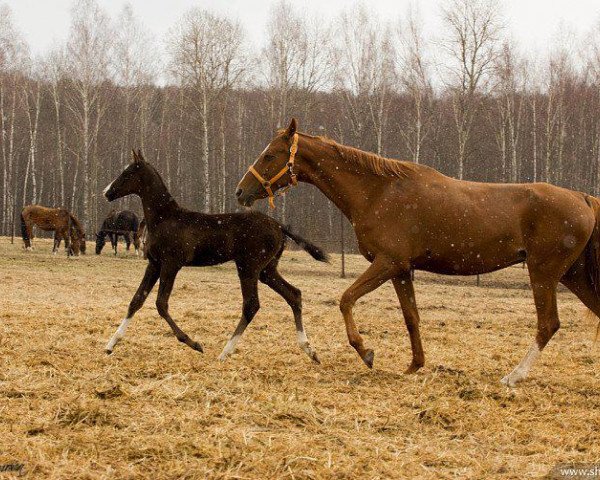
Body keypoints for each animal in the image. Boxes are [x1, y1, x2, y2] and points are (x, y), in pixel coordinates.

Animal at [236, 118, 600, 388]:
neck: (379, 192)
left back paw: (513, 376)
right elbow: (411, 317)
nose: (240, 192)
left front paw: (366, 351)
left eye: (270, 155)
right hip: (573, 276)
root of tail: (582, 198)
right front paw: (414, 365)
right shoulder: (401, 270)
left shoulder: (387, 262)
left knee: (547, 324)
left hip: (544, 273)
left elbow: (346, 299)